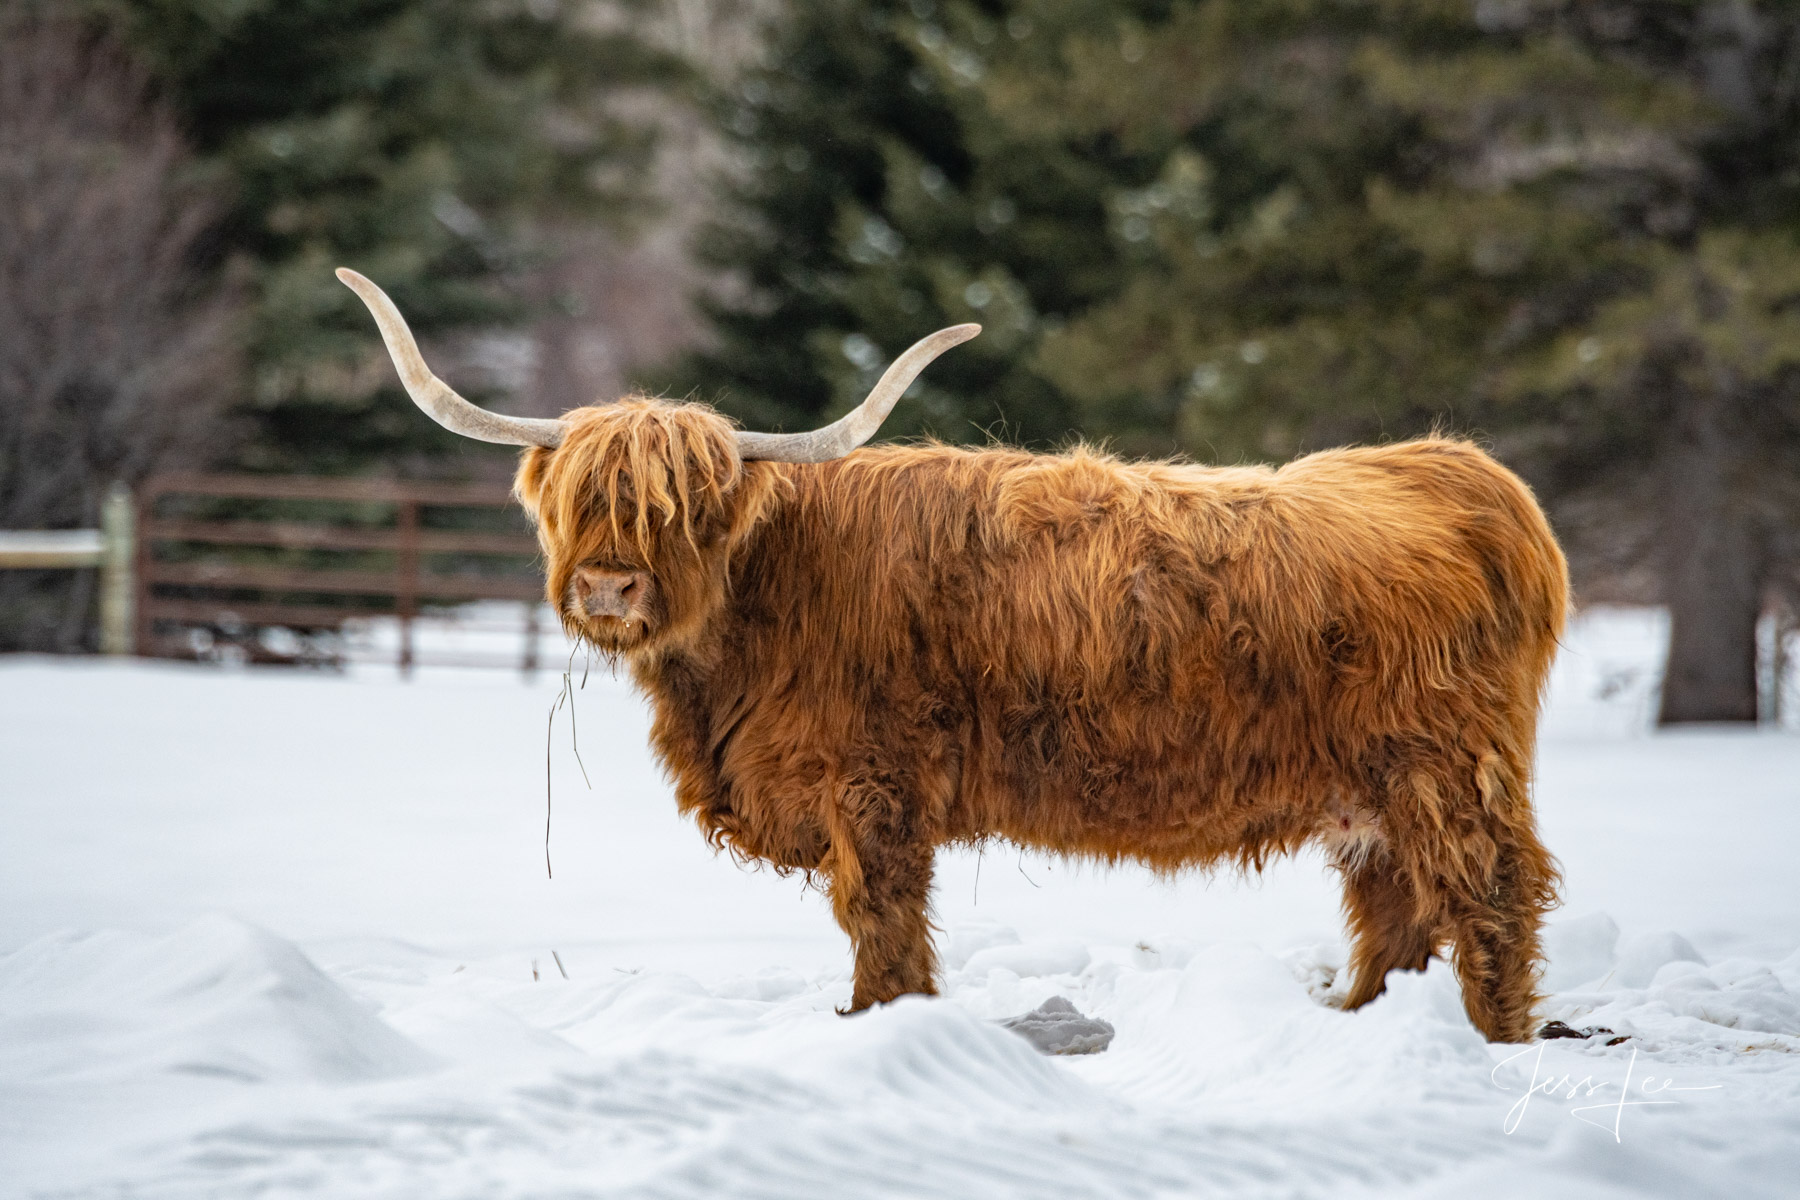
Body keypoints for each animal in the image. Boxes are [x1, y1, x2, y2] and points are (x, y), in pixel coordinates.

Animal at [343, 268, 1569, 1043]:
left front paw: (879, 1026)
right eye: (580, 502)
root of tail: (1458, 472)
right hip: (1371, 801)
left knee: (1493, 900)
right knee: (1396, 916)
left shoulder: (873, 786)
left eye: (684, 509)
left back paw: (1489, 1043)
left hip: (1447, 774)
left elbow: (880, 923)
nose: (607, 587)